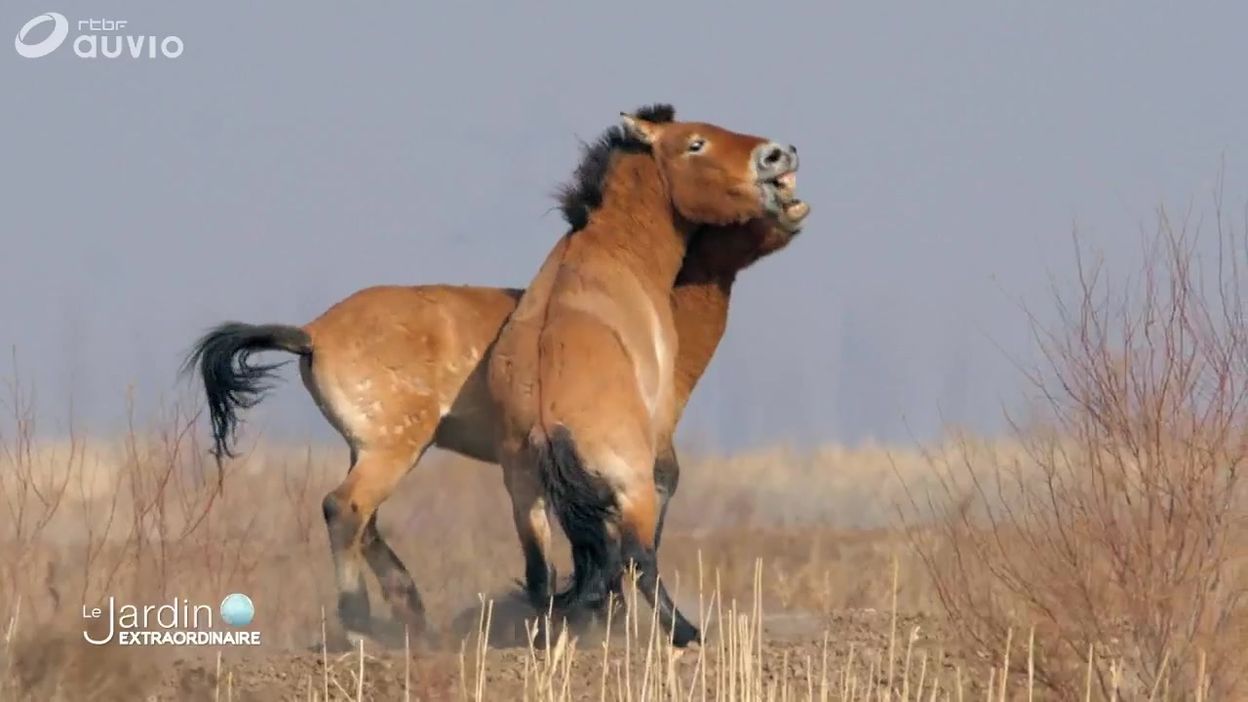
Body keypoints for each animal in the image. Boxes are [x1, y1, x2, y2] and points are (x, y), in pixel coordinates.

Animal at [486, 103, 808, 644]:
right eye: (695, 143)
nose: (778, 155)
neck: (610, 247)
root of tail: (549, 422)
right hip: (628, 491)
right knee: (638, 558)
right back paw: (682, 632)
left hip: (526, 501)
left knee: (544, 576)